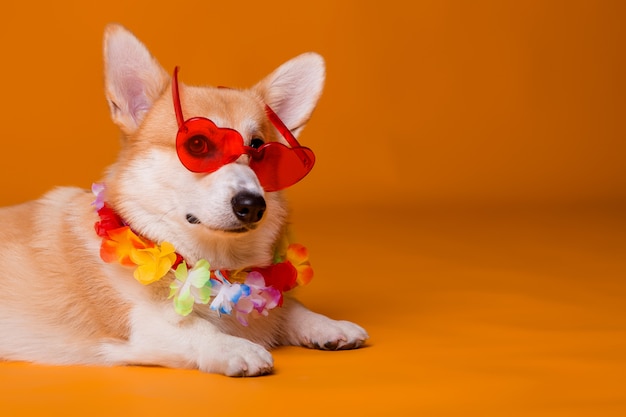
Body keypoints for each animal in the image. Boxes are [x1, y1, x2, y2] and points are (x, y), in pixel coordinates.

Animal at [0, 24, 366, 376]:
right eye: (198, 145)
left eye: (259, 148)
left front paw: (328, 325)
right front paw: (236, 347)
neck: (209, 264)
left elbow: (290, 306)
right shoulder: (139, 326)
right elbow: (193, 328)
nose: (252, 206)